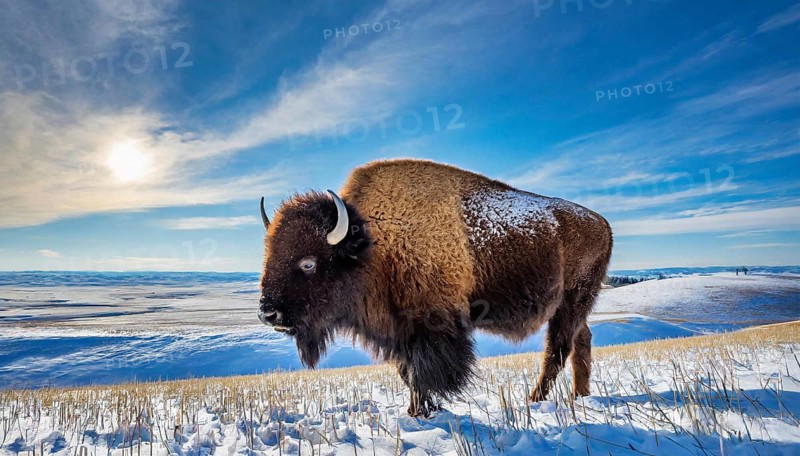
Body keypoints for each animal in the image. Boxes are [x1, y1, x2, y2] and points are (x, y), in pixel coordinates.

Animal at [258, 159, 613, 417]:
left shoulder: (430, 328)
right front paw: (418, 410)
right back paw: (580, 396)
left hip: (572, 300)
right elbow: (407, 372)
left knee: (557, 350)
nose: (267, 313)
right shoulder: (400, 332)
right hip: (574, 307)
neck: (373, 243)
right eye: (268, 253)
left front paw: (421, 412)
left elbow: (421, 373)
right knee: (580, 341)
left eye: (308, 263)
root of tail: (602, 223)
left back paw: (535, 400)